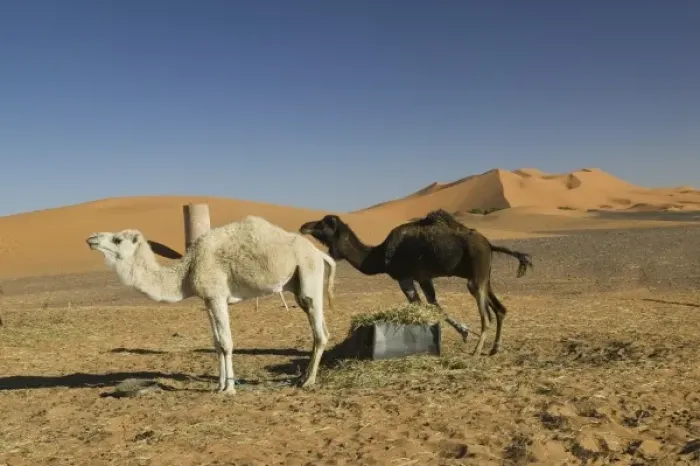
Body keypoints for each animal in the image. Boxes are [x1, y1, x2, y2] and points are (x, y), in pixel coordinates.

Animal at [86, 215, 336, 394]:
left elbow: (226, 342)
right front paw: (219, 385)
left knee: (320, 333)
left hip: (309, 275)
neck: (187, 271)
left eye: (117, 240)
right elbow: (216, 343)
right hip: (298, 287)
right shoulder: (208, 300)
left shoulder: (217, 296)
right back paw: (302, 377)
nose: (91, 238)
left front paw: (230, 389)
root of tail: (320, 254)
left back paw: (309, 381)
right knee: (318, 328)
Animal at [299, 209, 533, 356]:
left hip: (476, 276)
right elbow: (433, 304)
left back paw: (477, 350)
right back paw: (494, 349)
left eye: (322, 224)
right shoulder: (423, 276)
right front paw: (461, 332)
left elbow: (420, 304)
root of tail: (490, 245)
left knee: (487, 315)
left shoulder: (405, 277)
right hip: (484, 277)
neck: (379, 256)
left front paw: (462, 333)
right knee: (500, 309)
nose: (303, 226)